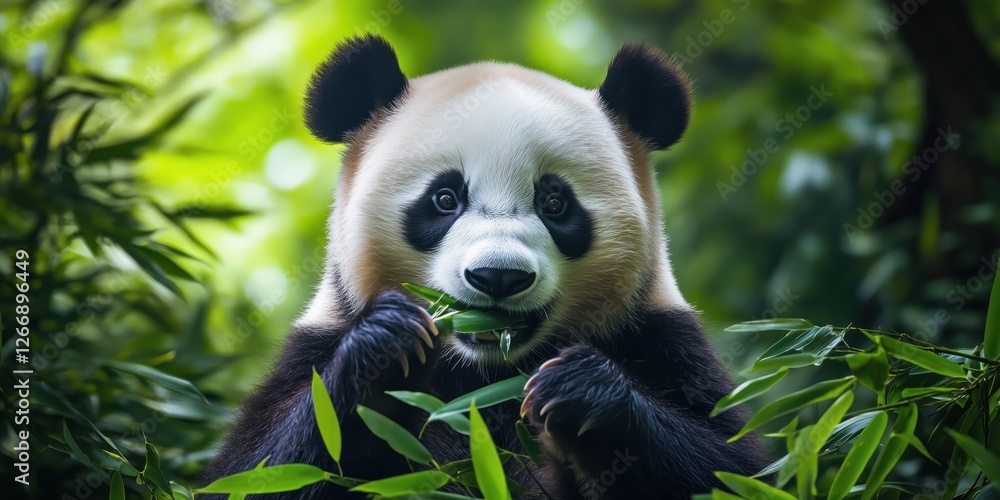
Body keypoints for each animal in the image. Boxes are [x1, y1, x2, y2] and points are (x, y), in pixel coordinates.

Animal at [205, 34, 768, 499]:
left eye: (555, 203)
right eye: (445, 198)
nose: (499, 276)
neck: (483, 375)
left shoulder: (660, 339)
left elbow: (728, 466)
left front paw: (578, 393)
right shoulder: (318, 340)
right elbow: (260, 470)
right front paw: (386, 344)